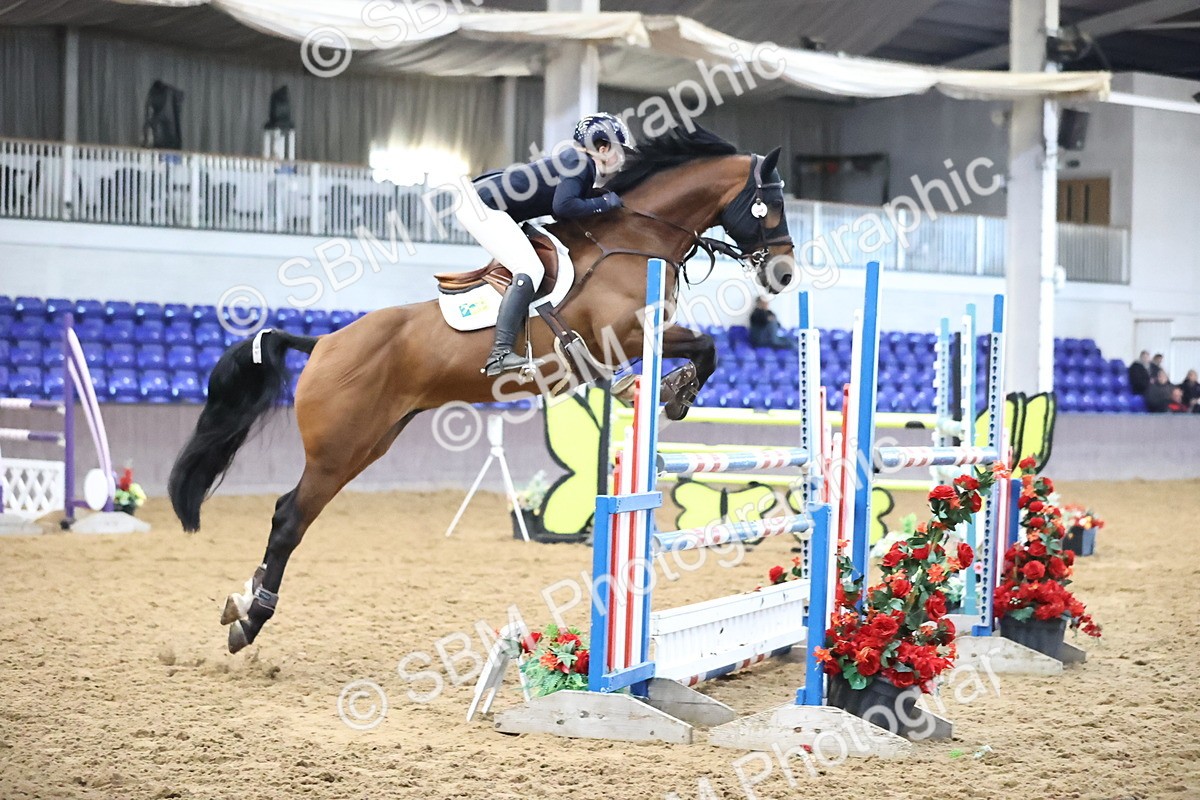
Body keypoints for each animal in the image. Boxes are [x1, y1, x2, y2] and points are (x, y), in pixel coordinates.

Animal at [168, 127, 797, 653]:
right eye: (769, 206)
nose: (785, 274)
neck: (637, 233)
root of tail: (322, 343)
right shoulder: (624, 333)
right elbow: (704, 346)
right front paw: (674, 389)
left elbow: (705, 349)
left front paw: (673, 390)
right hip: (338, 450)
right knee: (288, 519)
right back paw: (251, 618)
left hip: (371, 443)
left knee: (291, 515)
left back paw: (242, 603)